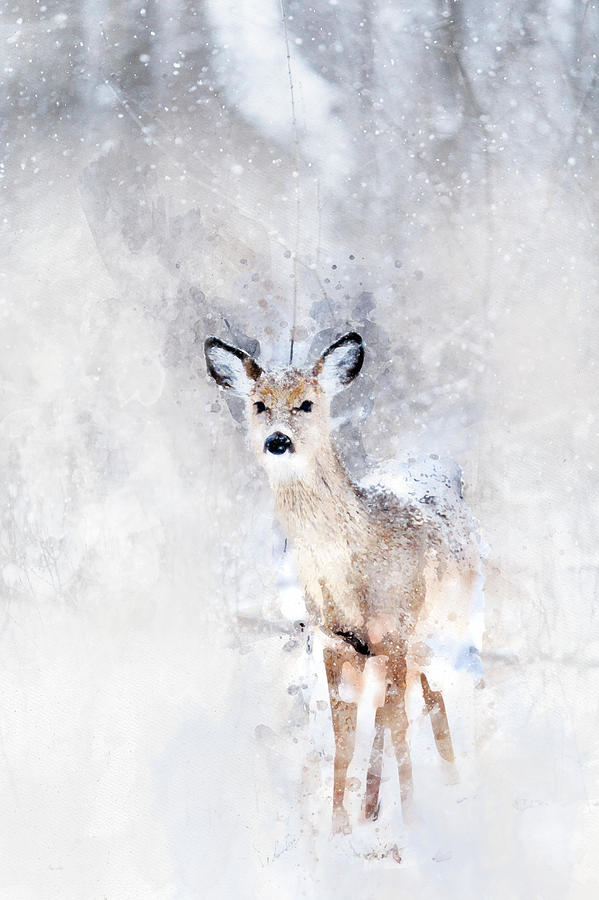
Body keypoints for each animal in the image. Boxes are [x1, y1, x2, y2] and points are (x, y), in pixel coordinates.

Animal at [204, 330, 481, 838]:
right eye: (258, 404)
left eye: (307, 403)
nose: (278, 441)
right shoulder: (334, 642)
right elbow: (345, 738)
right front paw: (339, 829)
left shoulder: (395, 632)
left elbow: (399, 729)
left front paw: (410, 821)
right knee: (396, 712)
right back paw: (374, 806)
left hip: (446, 625)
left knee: (430, 701)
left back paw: (449, 787)